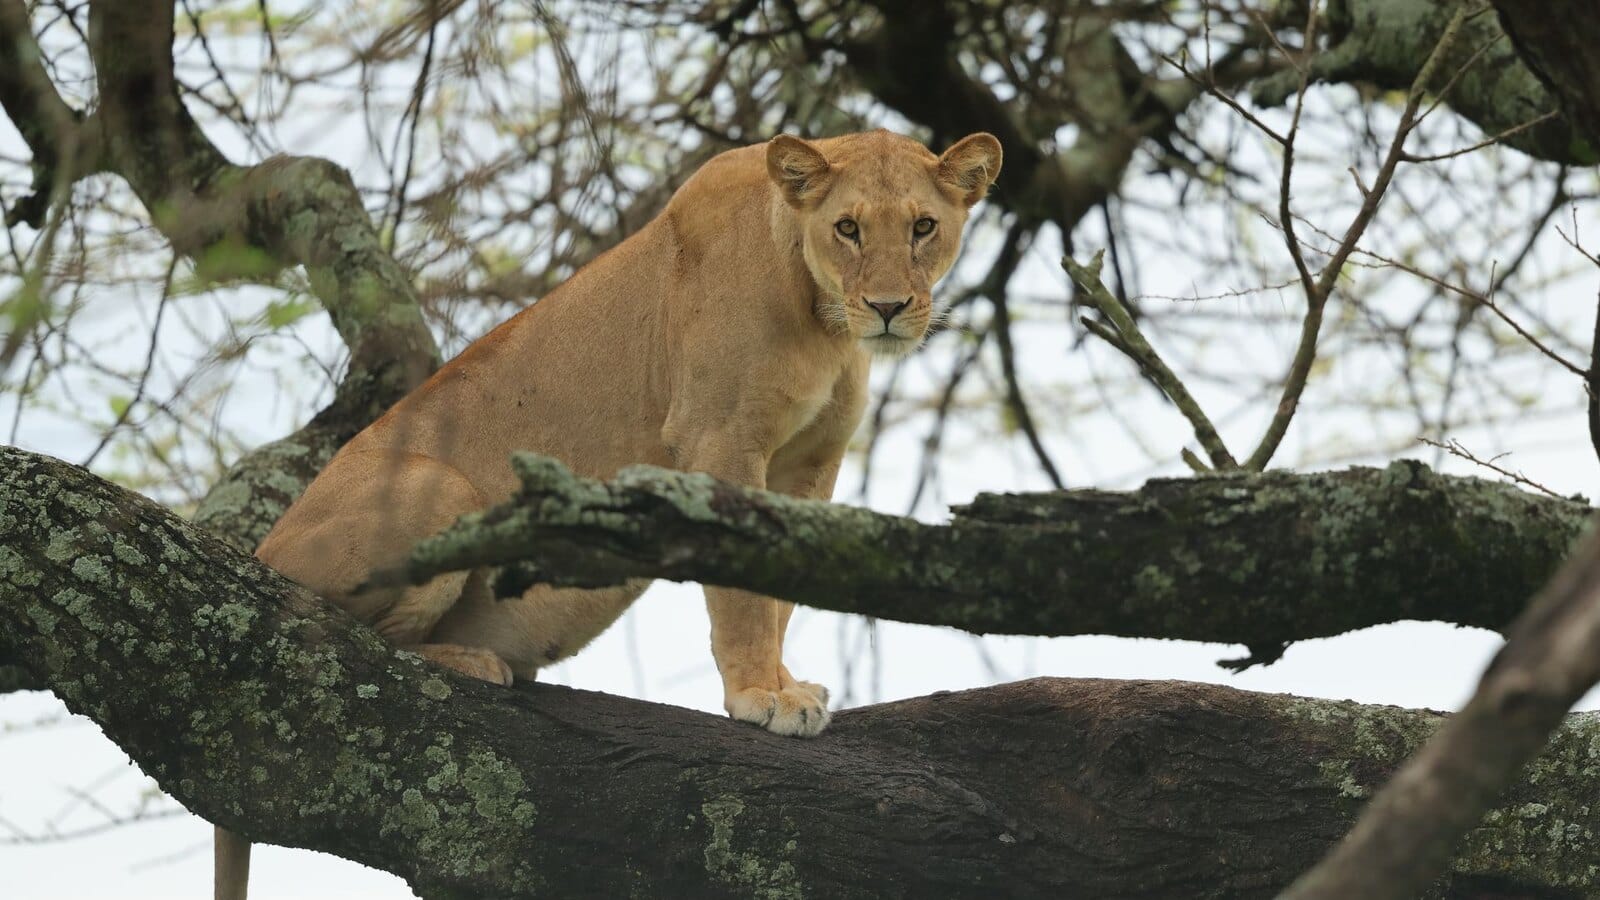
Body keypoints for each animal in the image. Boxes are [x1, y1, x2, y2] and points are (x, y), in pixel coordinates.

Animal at [215, 128, 1001, 899]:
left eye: (923, 227)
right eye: (848, 229)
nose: (890, 308)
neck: (824, 320)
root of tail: (258, 554)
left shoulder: (809, 465)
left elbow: (778, 596)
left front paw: (783, 684)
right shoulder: (718, 441)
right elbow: (743, 598)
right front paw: (759, 696)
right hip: (438, 487)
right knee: (345, 641)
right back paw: (474, 661)